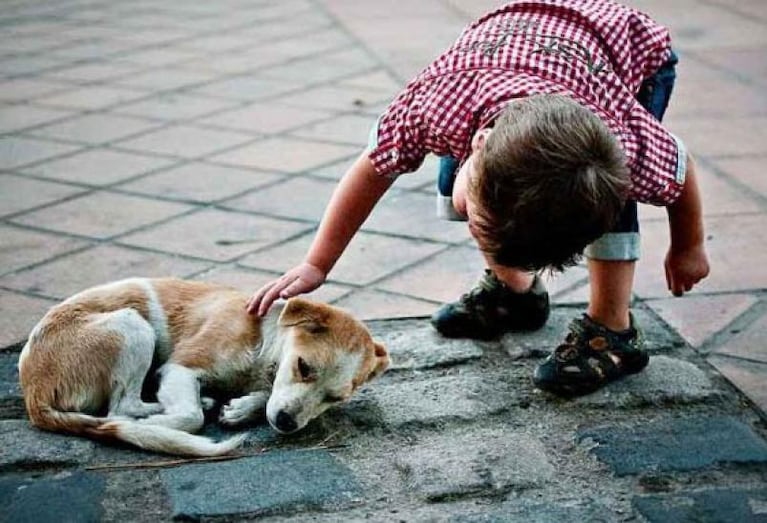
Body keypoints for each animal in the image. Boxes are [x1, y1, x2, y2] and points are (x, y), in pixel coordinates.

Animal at [18, 280, 390, 456]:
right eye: (304, 366)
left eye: (334, 398)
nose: (286, 424)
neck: (263, 338)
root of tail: (33, 392)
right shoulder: (180, 367)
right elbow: (191, 417)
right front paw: (161, 424)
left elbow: (264, 395)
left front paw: (241, 408)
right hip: (132, 326)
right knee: (120, 409)